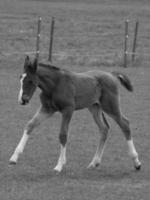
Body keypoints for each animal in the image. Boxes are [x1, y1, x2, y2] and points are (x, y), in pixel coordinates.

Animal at [9, 55, 141, 172]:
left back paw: (136, 162)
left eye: (31, 81)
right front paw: (14, 158)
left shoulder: (68, 109)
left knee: (125, 124)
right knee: (104, 128)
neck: (55, 85)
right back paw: (94, 162)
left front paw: (59, 165)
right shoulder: (47, 109)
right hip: (94, 107)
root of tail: (112, 75)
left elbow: (63, 134)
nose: (22, 100)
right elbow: (30, 125)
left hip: (111, 106)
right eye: (20, 78)